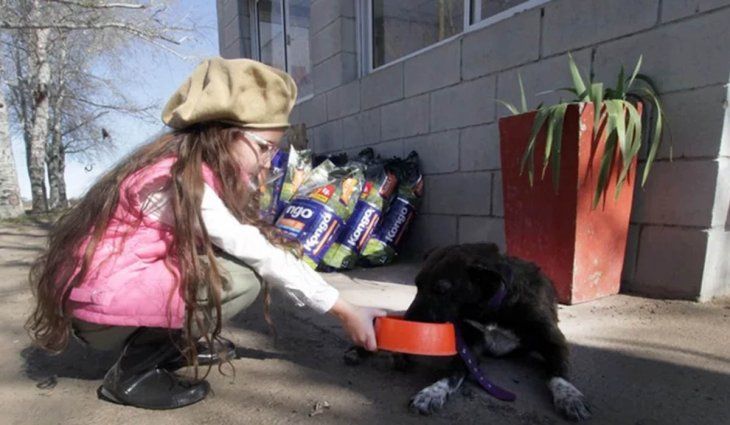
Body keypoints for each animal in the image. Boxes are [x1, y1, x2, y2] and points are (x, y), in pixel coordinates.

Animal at [344, 243, 588, 420]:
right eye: (417, 285)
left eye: (441, 290)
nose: (410, 321)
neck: (493, 308)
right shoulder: (469, 345)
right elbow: (452, 373)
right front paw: (433, 392)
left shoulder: (553, 341)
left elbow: (557, 372)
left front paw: (569, 396)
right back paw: (362, 350)